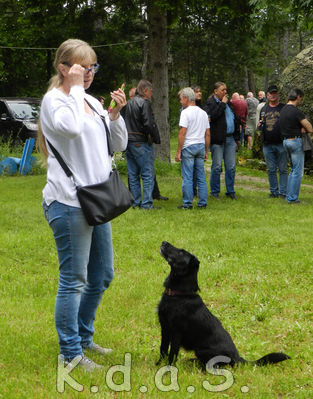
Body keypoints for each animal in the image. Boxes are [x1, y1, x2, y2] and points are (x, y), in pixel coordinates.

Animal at [156, 241, 290, 368]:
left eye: (181, 252)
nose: (163, 242)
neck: (179, 293)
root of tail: (238, 358)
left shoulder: (176, 333)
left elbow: (172, 354)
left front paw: (169, 369)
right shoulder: (165, 328)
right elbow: (163, 349)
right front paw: (158, 364)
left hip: (201, 350)